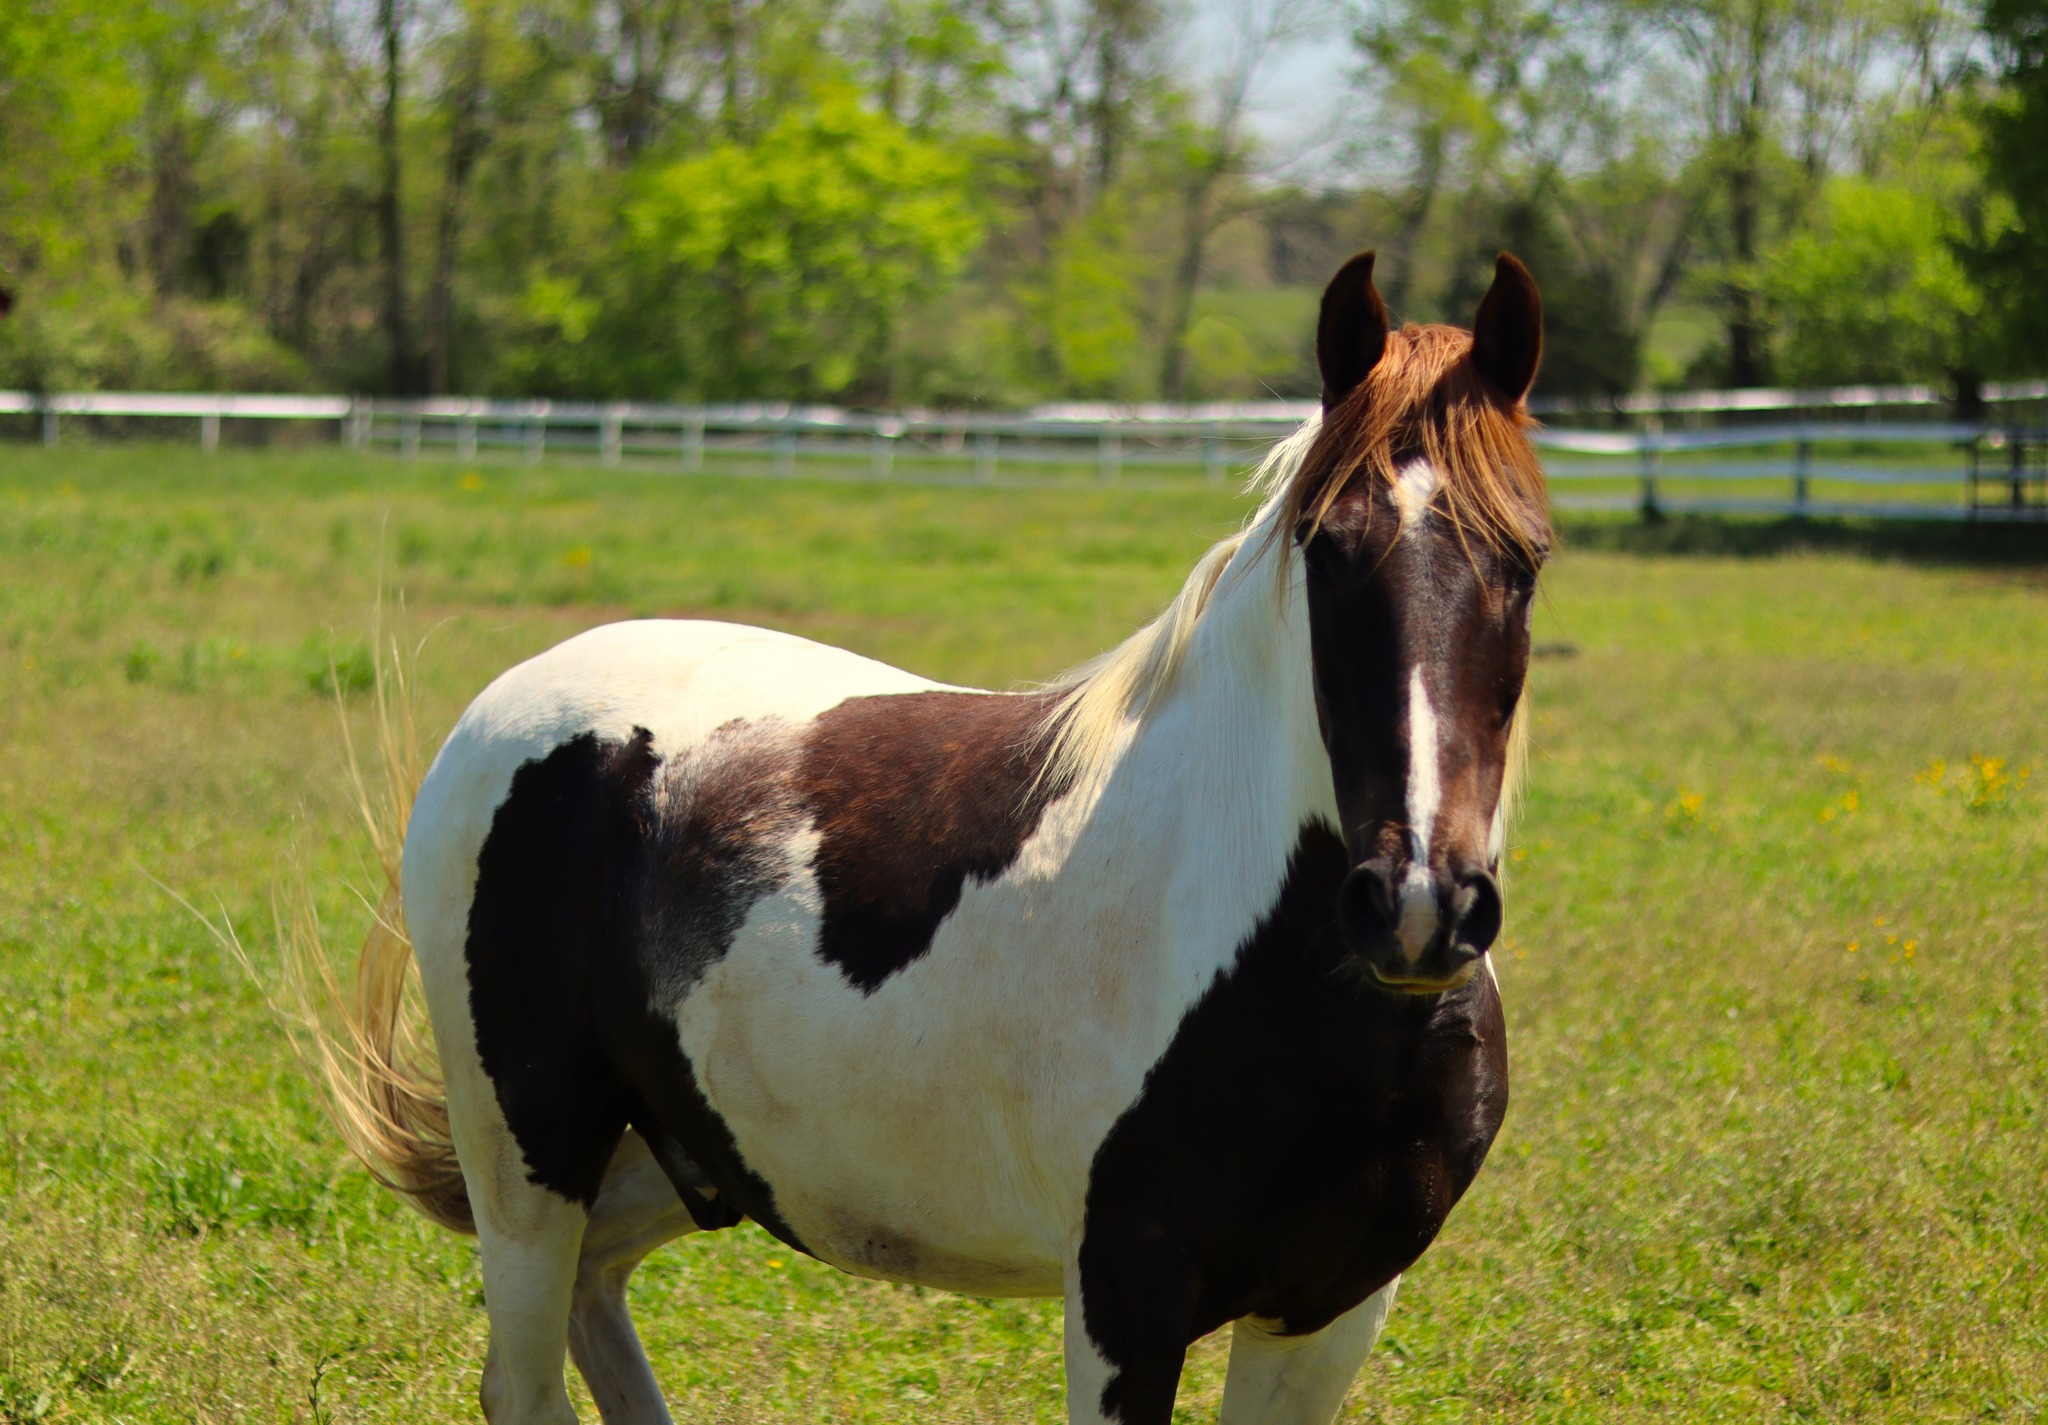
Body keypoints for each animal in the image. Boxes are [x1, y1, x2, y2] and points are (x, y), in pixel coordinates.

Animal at [307, 249, 1551, 1425]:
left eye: (1527, 558)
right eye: (1325, 548)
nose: (1417, 905)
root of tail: (510, 703)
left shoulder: (1326, 1310)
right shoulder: (1124, 1300)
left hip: (688, 1151)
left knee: (593, 1293)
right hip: (530, 1152)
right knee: (524, 1372)